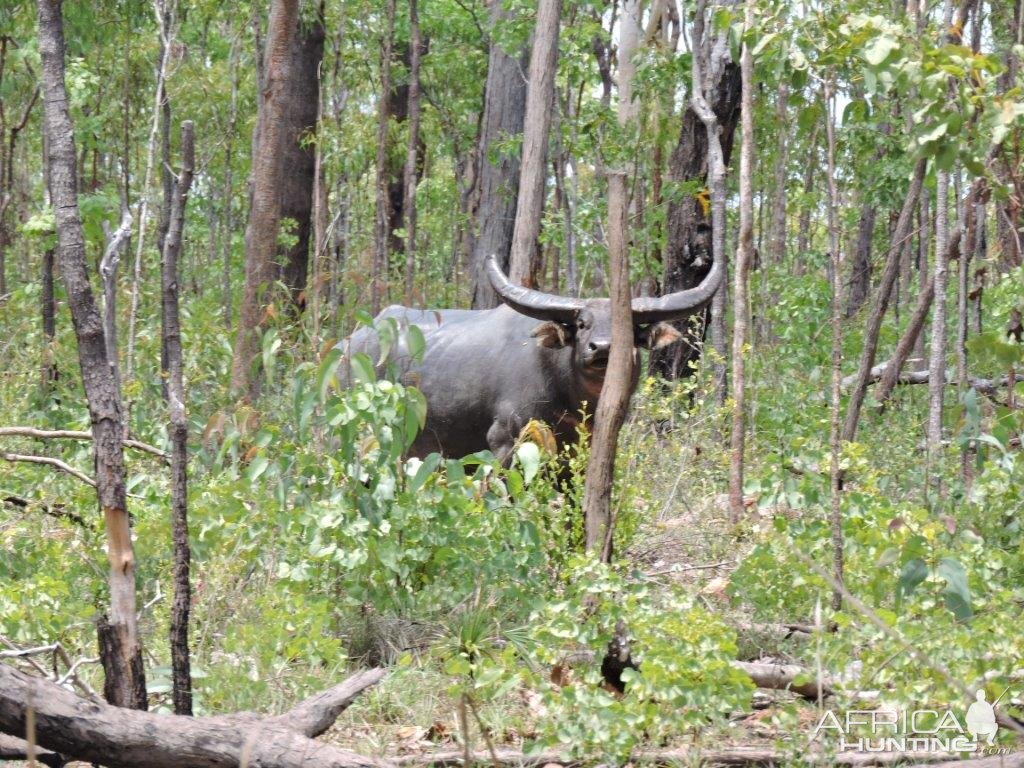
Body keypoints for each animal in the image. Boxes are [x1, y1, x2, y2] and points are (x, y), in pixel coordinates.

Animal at [337, 257, 720, 462]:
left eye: (627, 327)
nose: (602, 348)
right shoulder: (504, 441)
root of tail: (346, 347)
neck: (571, 399)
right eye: (582, 323)